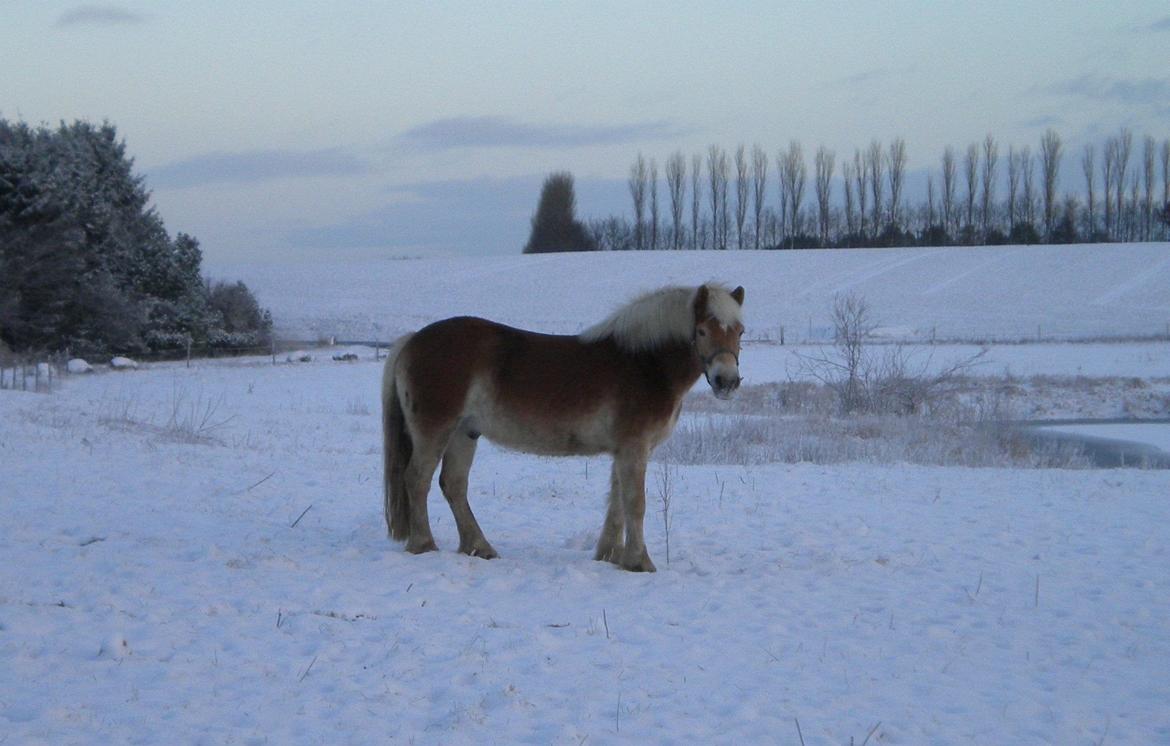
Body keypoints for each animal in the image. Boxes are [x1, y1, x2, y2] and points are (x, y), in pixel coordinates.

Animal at [388, 281, 744, 572]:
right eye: (702, 331)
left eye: (739, 331)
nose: (726, 381)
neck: (645, 364)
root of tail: (412, 340)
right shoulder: (634, 448)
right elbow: (635, 503)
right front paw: (639, 562)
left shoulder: (623, 450)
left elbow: (617, 503)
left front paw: (609, 556)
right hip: (435, 430)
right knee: (417, 479)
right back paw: (424, 545)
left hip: (465, 433)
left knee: (453, 485)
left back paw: (479, 548)